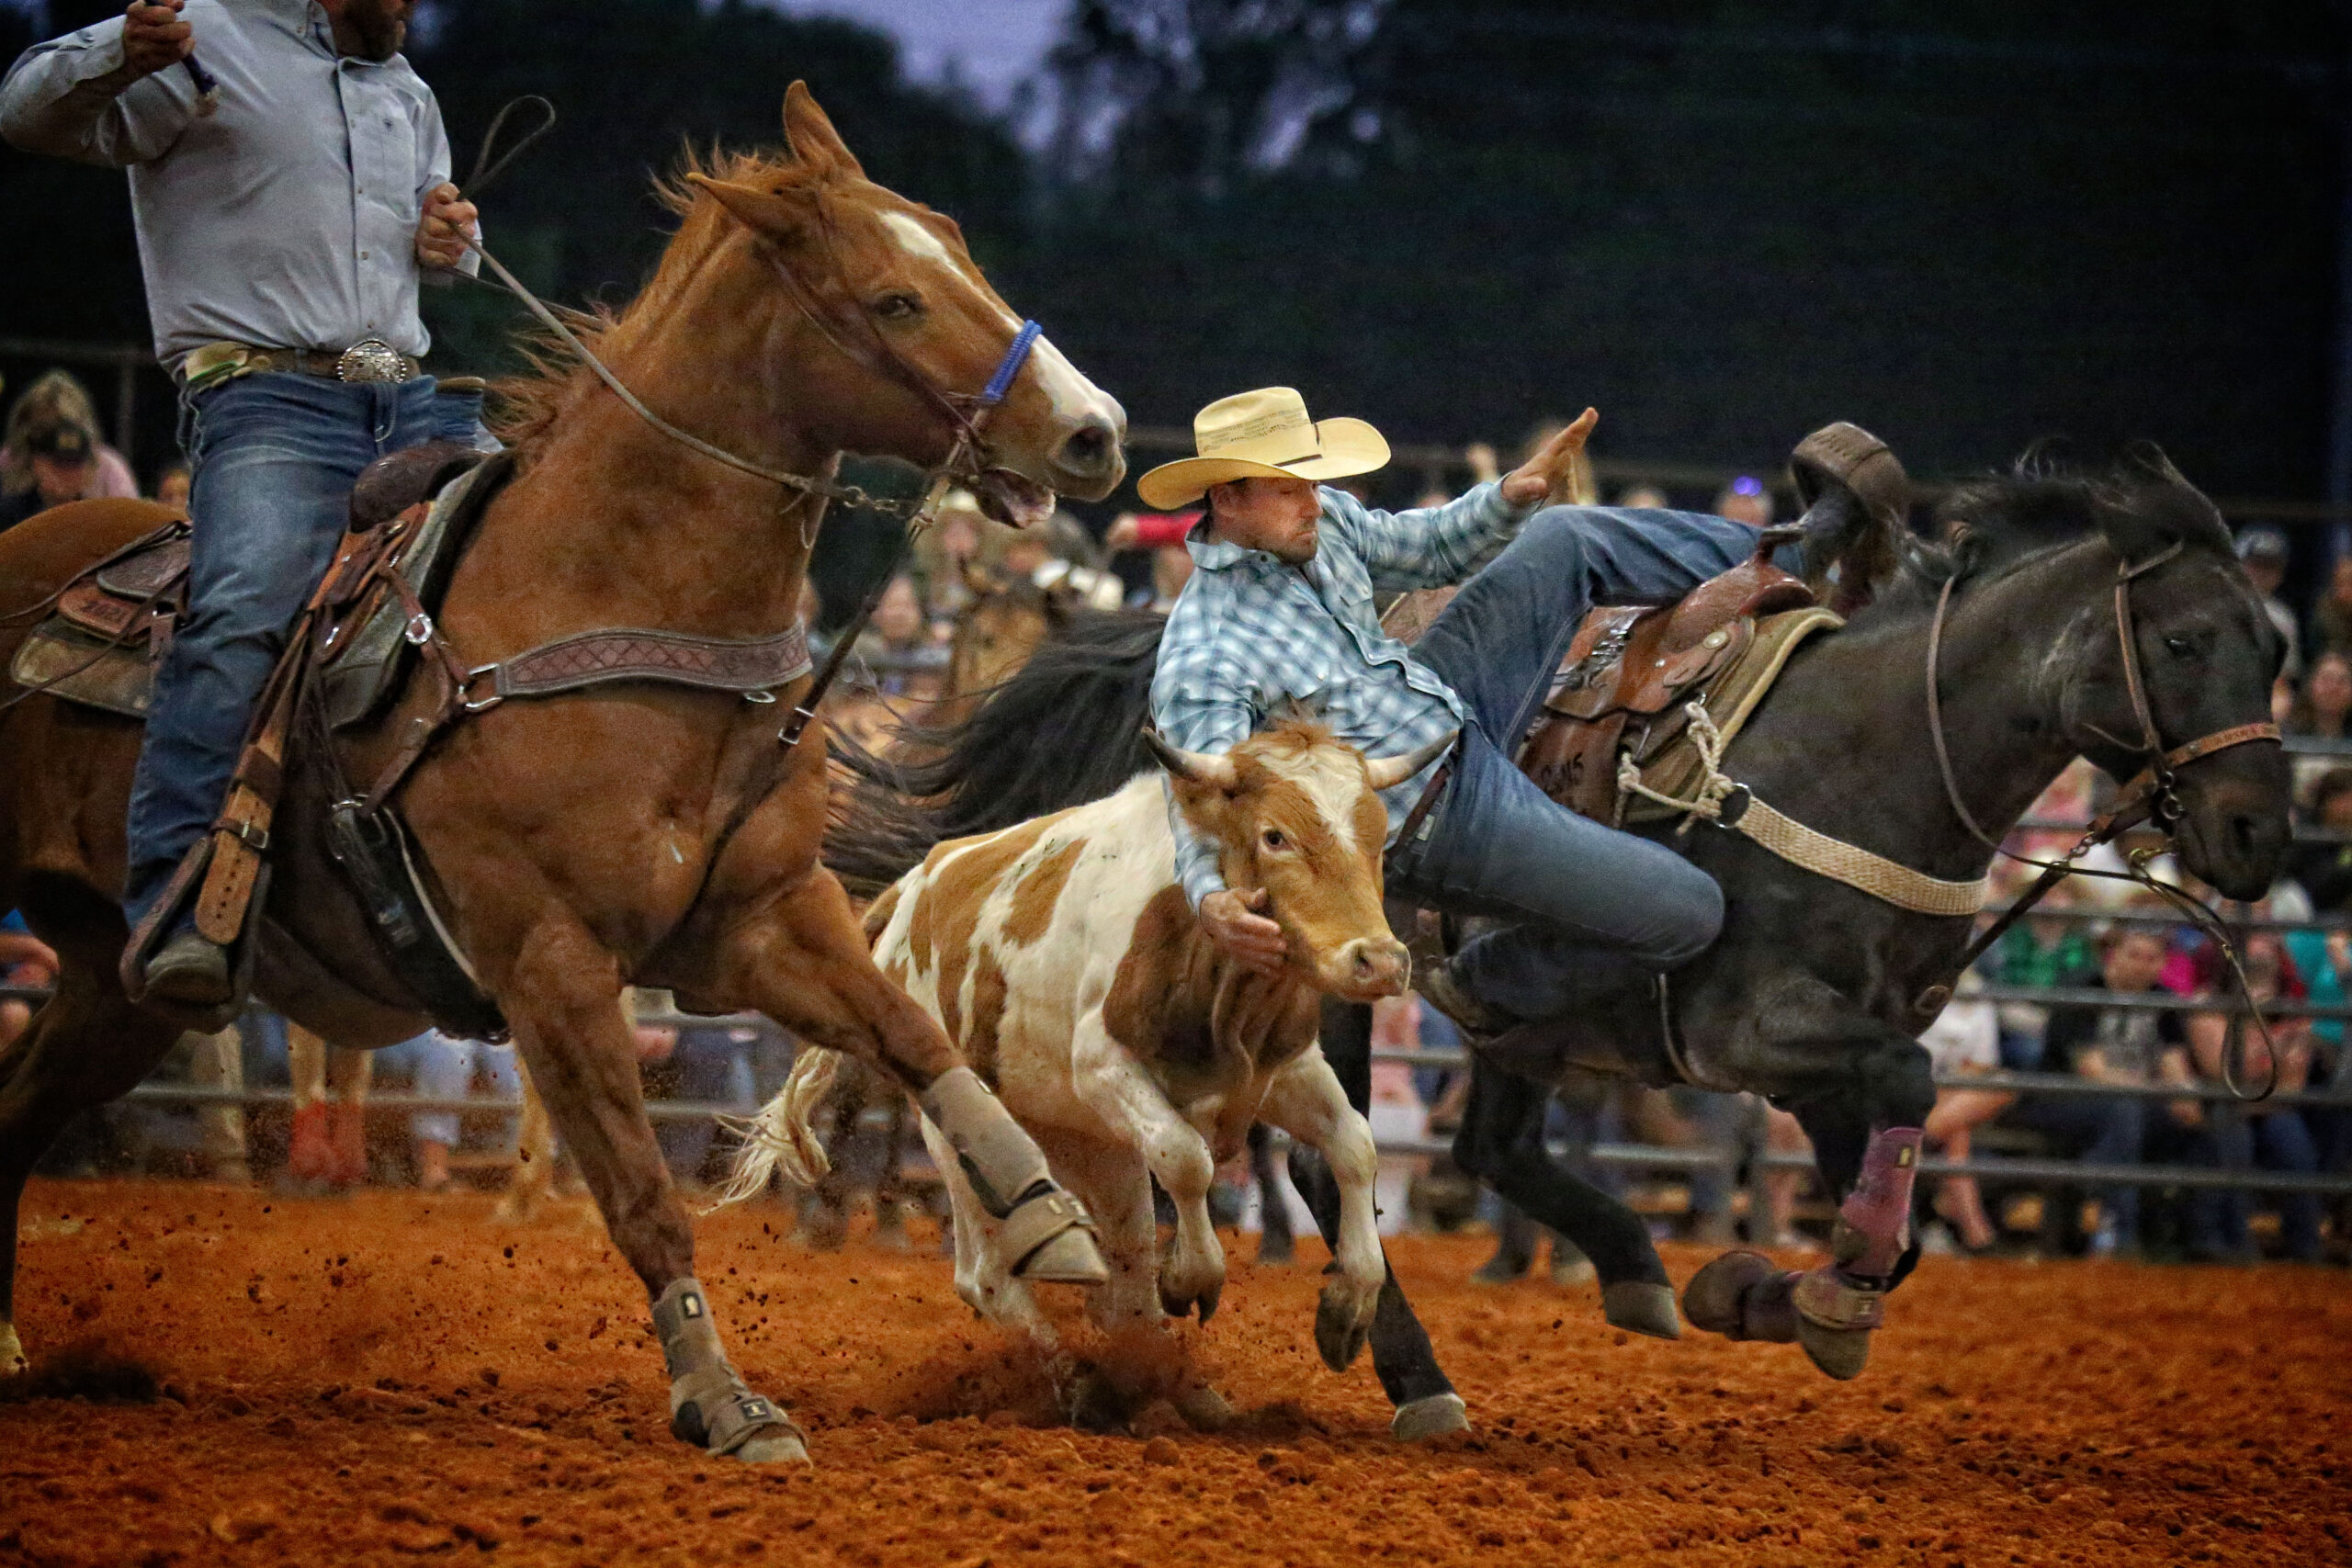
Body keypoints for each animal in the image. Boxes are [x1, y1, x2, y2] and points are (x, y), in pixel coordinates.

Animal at [0, 80, 1128, 1466]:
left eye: (960, 250)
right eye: (895, 299)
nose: (1092, 431)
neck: (604, 594)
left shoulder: (763, 919)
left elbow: (912, 1033)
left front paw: (1049, 1217)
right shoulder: (553, 963)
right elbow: (643, 1194)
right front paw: (726, 1400)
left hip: (114, 985)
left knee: (15, 1113)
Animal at [823, 456, 2277, 1438]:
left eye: (2268, 641)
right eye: (2182, 638)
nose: (2256, 829)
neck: (1867, 752)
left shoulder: (1836, 1053)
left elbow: (1897, 1192)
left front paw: (1772, 1287)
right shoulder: (1760, 1028)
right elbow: (1910, 1094)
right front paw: (1795, 1295)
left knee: (1484, 1138)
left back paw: (1632, 1267)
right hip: (1345, 997)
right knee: (1337, 1154)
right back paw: (1419, 1373)